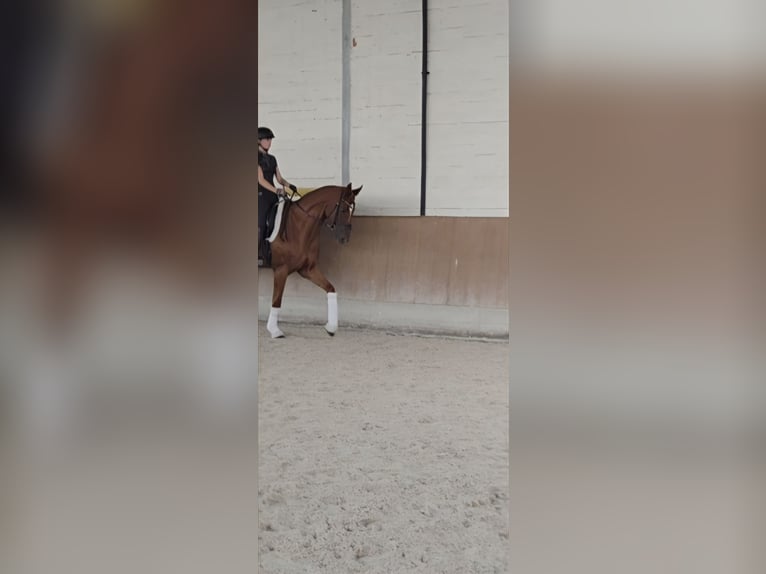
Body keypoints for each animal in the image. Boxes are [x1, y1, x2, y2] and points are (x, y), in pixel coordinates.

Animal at [263, 183, 362, 339]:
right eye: (344, 210)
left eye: (353, 210)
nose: (344, 239)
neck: (297, 226)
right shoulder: (281, 269)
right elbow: (277, 299)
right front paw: (274, 330)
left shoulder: (308, 269)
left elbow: (330, 288)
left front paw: (331, 327)